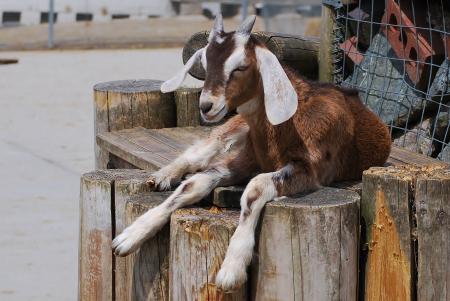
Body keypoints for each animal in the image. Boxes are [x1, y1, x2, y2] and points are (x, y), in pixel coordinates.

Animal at [111, 15, 390, 290]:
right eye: (205, 63)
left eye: (240, 67)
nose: (206, 106)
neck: (288, 123)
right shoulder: (245, 160)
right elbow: (193, 184)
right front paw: (129, 237)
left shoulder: (310, 169)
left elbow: (254, 189)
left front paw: (231, 269)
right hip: (234, 125)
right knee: (204, 148)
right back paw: (163, 176)